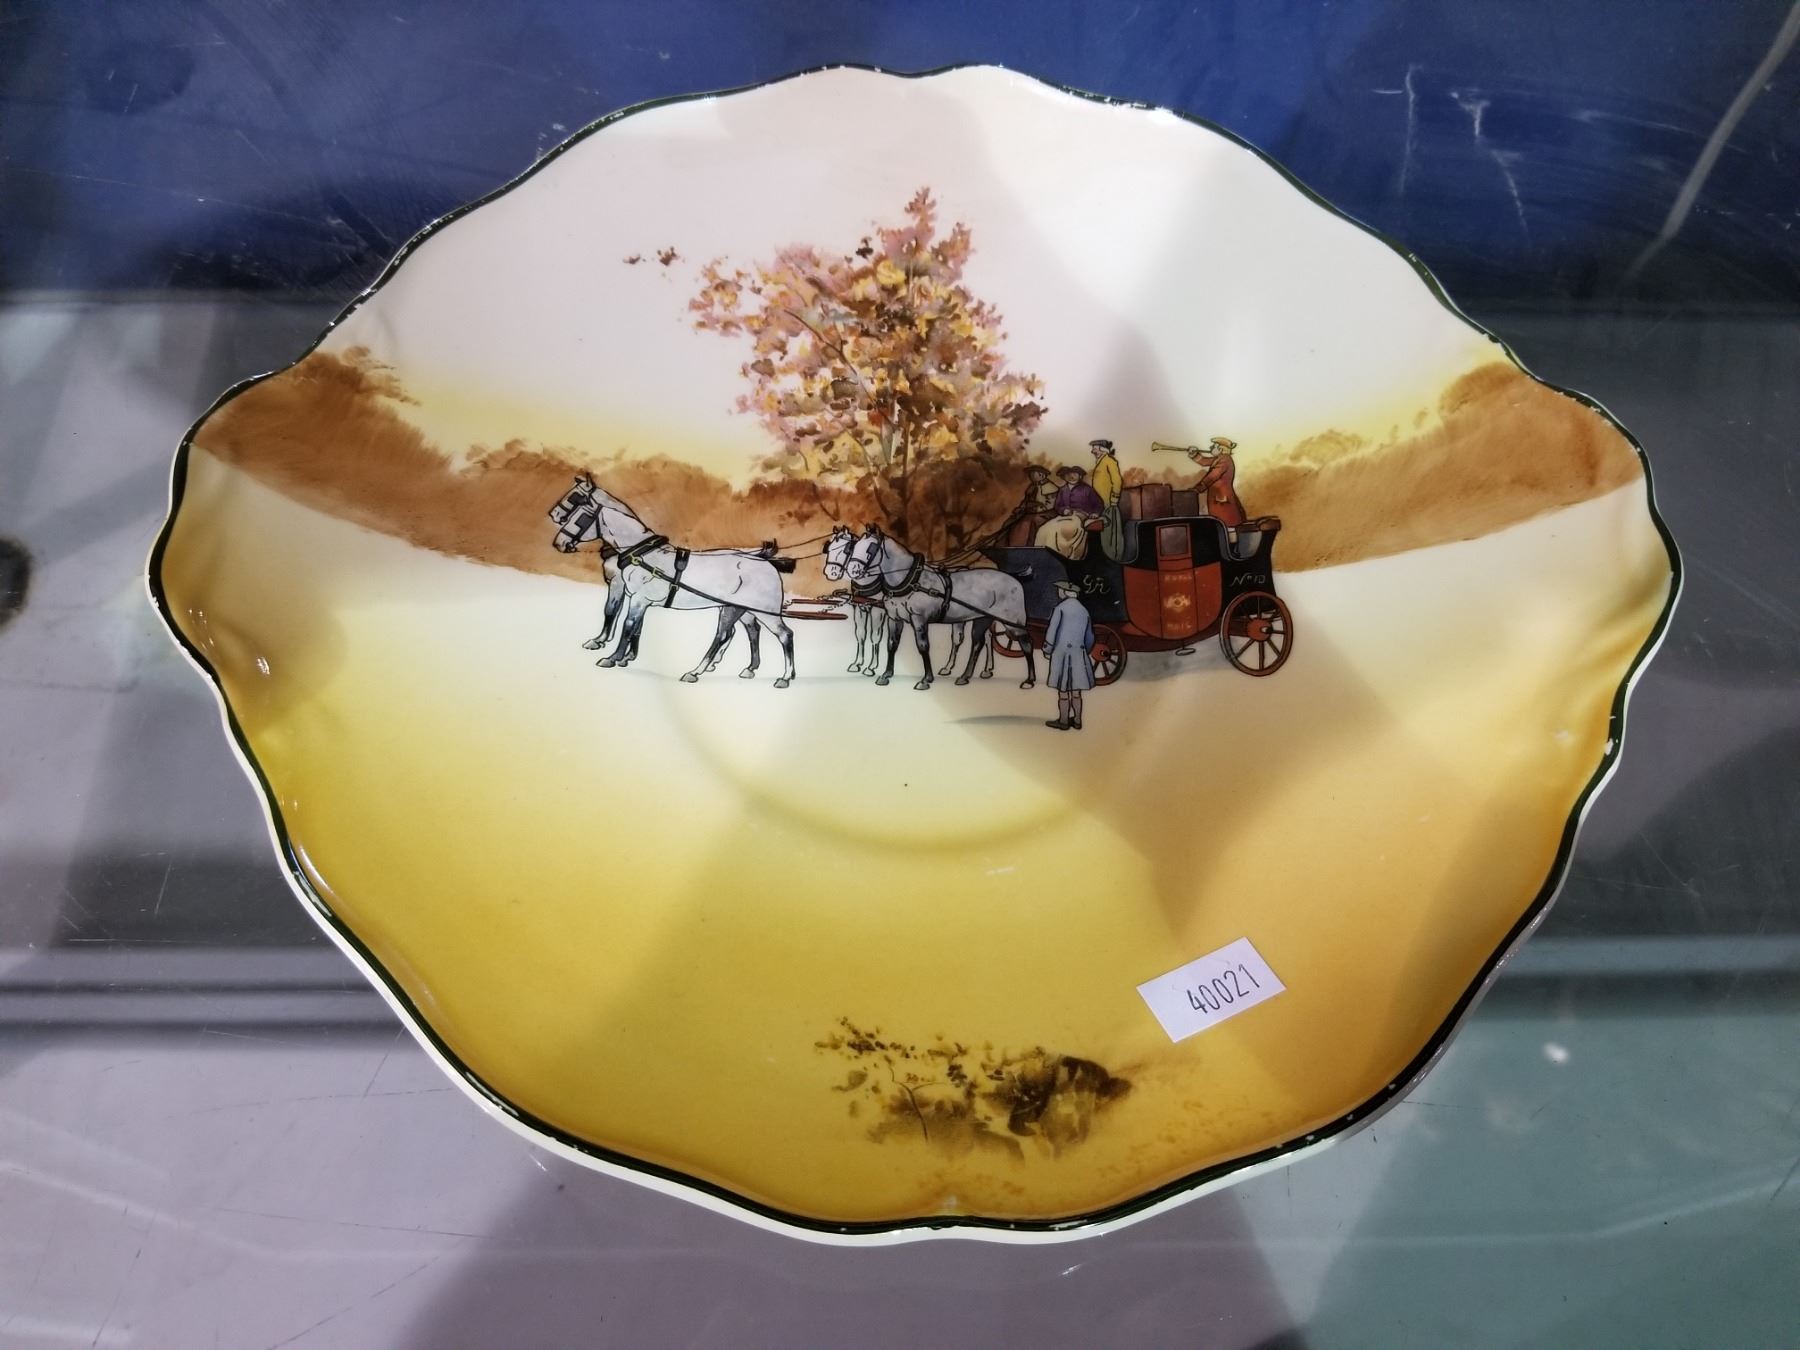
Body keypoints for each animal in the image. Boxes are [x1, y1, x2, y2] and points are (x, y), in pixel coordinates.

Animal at [549, 475, 797, 688]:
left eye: (578, 513)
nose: (558, 543)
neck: (640, 553)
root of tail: (763, 560)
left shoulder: (635, 596)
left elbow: (626, 624)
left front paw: (612, 657)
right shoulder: (639, 599)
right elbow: (634, 625)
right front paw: (626, 656)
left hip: (762, 612)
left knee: (779, 635)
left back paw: (780, 677)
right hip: (738, 609)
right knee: (746, 631)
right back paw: (744, 669)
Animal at [846, 526, 1036, 690]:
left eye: (871, 548)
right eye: (854, 547)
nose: (853, 570)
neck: (910, 581)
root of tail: (1013, 577)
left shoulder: (919, 618)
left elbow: (923, 646)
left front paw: (925, 680)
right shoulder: (894, 618)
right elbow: (892, 645)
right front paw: (886, 675)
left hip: (1011, 621)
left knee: (1026, 643)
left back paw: (1029, 680)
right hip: (983, 618)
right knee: (978, 644)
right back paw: (964, 677)